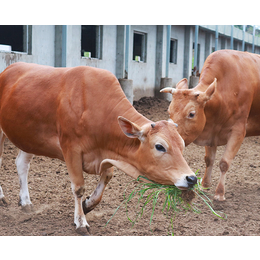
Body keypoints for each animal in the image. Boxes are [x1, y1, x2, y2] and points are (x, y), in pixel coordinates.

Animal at [0, 62, 197, 235]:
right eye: (159, 146)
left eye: (181, 144)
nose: (192, 178)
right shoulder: (71, 149)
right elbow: (78, 187)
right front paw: (80, 222)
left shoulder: (107, 153)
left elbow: (107, 177)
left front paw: (88, 205)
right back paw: (2, 198)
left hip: (28, 137)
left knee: (22, 164)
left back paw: (26, 202)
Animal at [160, 49, 260, 202]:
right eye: (169, 111)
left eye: (191, 114)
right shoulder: (211, 131)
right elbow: (209, 160)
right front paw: (205, 185)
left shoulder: (238, 131)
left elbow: (224, 163)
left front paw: (219, 193)